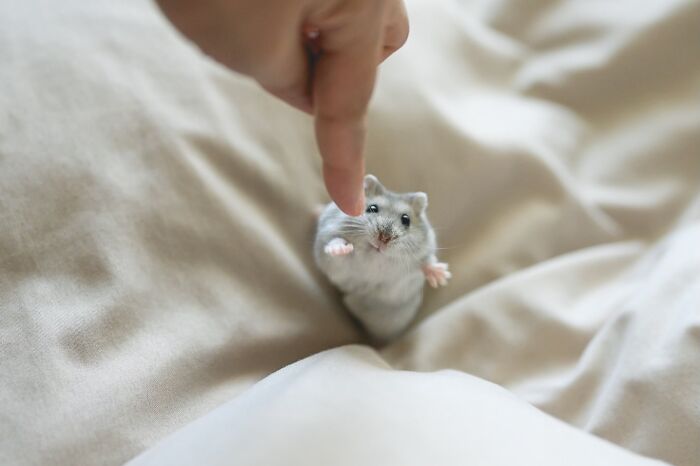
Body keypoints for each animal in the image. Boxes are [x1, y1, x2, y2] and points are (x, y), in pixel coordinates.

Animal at [314, 174, 450, 342]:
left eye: (406, 220)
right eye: (372, 208)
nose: (384, 238)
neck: (376, 255)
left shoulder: (424, 251)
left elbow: (426, 263)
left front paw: (442, 276)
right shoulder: (333, 260)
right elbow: (336, 244)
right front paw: (340, 248)